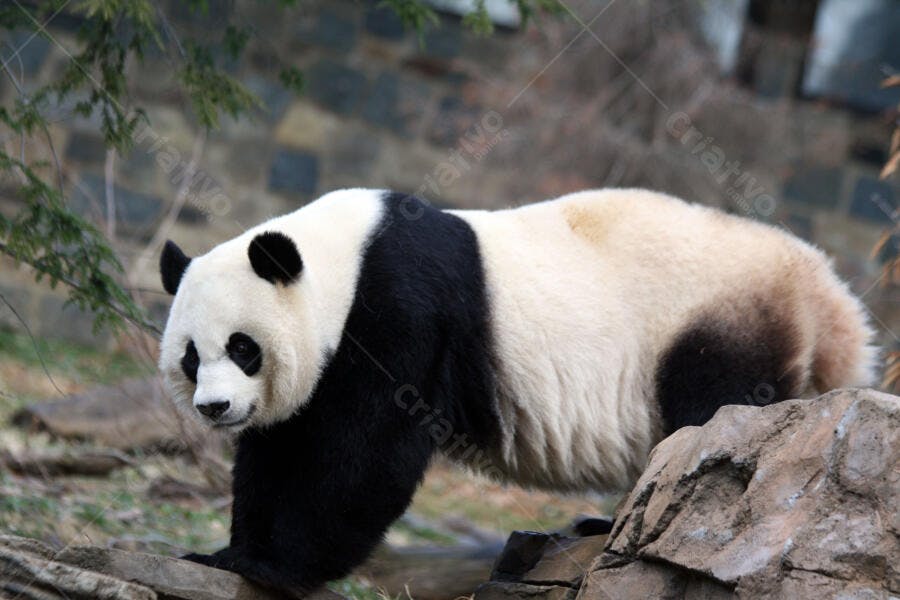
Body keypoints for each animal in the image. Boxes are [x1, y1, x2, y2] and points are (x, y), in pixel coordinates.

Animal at [159, 188, 876, 597]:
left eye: (243, 348)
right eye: (192, 357)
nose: (215, 408)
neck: (342, 258)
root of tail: (827, 294)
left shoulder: (402, 311)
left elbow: (364, 452)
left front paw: (275, 568)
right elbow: (281, 448)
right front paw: (230, 553)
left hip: (714, 326)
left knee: (709, 417)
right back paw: (601, 523)